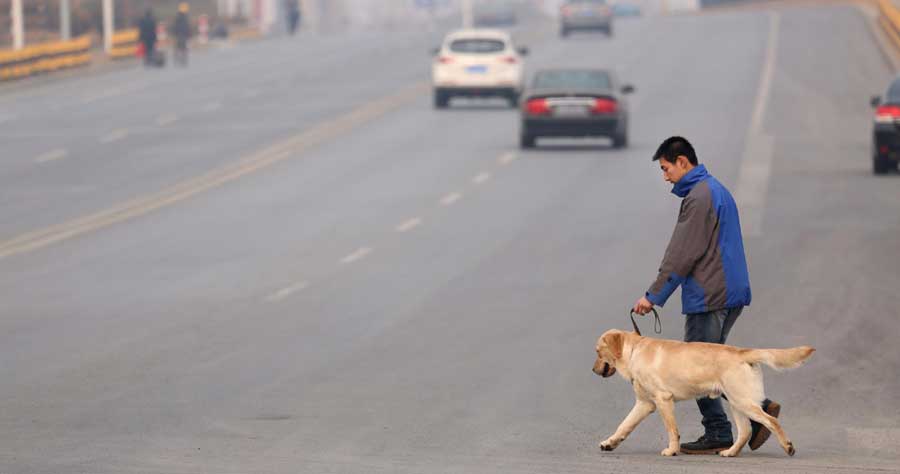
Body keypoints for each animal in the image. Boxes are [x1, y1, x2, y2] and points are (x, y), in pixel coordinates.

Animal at [596, 328, 812, 458]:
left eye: (598, 352)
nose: (593, 370)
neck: (634, 353)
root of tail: (742, 351)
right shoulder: (644, 404)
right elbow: (624, 425)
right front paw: (610, 443)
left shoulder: (663, 399)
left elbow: (672, 430)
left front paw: (672, 450)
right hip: (736, 402)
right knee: (745, 431)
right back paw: (730, 452)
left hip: (742, 401)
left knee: (771, 421)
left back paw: (787, 446)